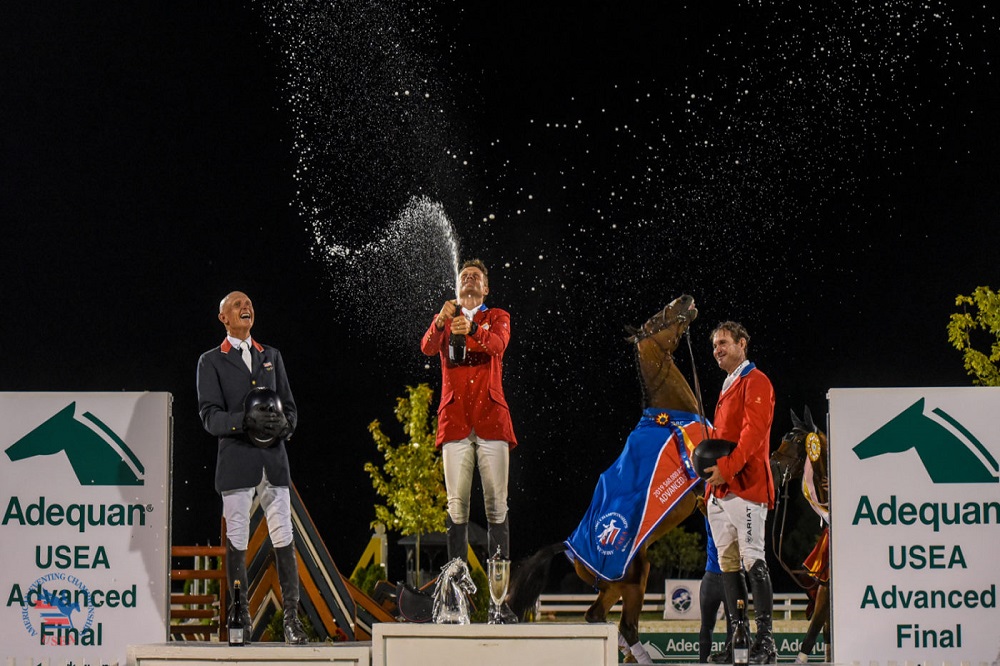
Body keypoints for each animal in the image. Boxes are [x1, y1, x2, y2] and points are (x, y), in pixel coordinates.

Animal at [508, 294, 704, 660]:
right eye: (655, 320)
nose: (684, 300)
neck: (670, 417)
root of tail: (569, 548)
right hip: (634, 581)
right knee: (626, 627)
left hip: (616, 588)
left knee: (597, 617)